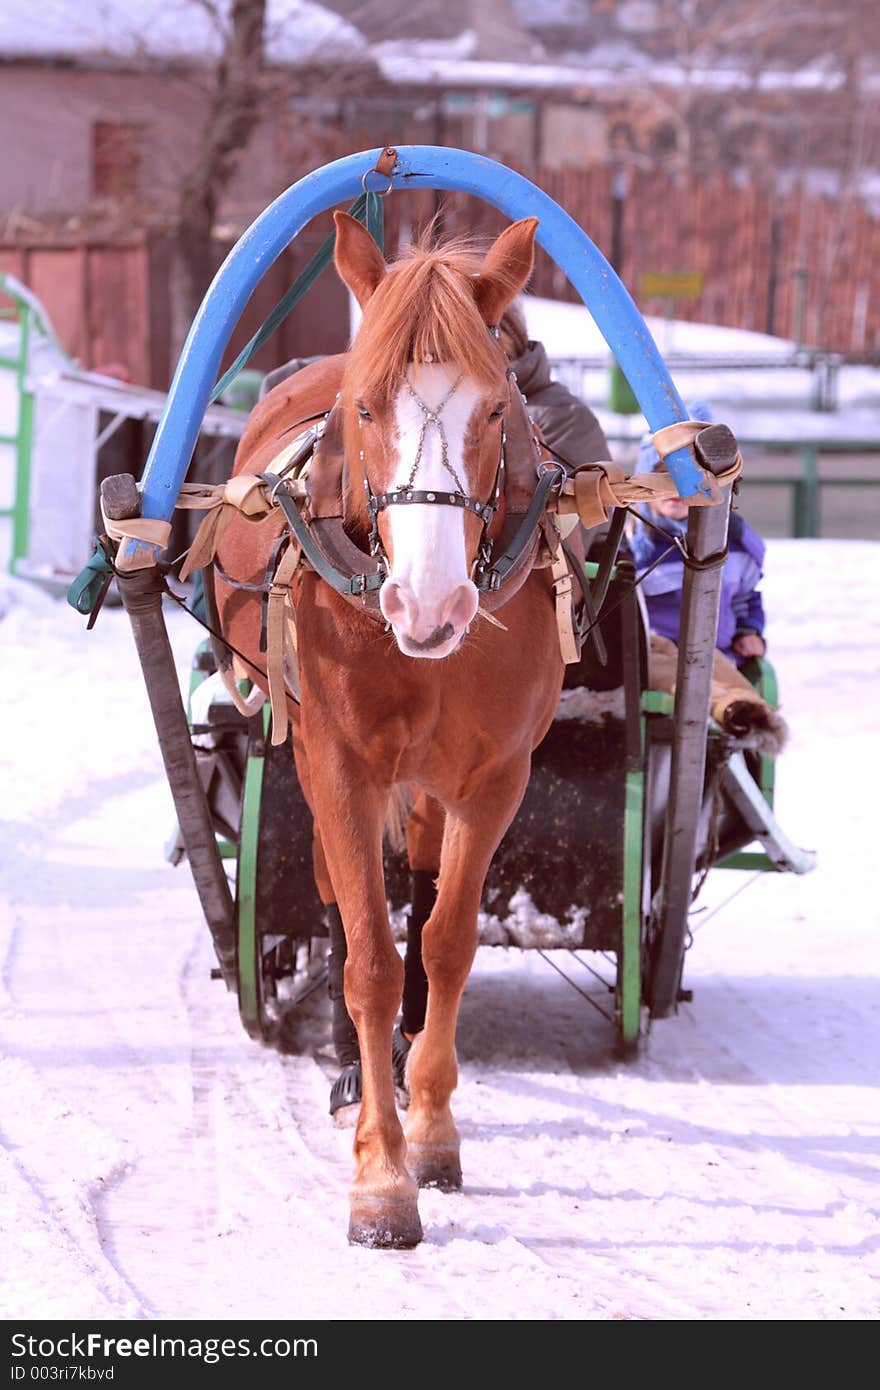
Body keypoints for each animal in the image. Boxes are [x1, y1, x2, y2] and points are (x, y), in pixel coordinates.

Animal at [216, 208, 567, 1251]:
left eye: (494, 411)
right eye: (367, 411)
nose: (430, 604)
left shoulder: (496, 776)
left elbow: (446, 943)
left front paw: (435, 1129)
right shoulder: (337, 762)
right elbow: (369, 955)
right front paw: (381, 1178)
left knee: (416, 877)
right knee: (343, 892)